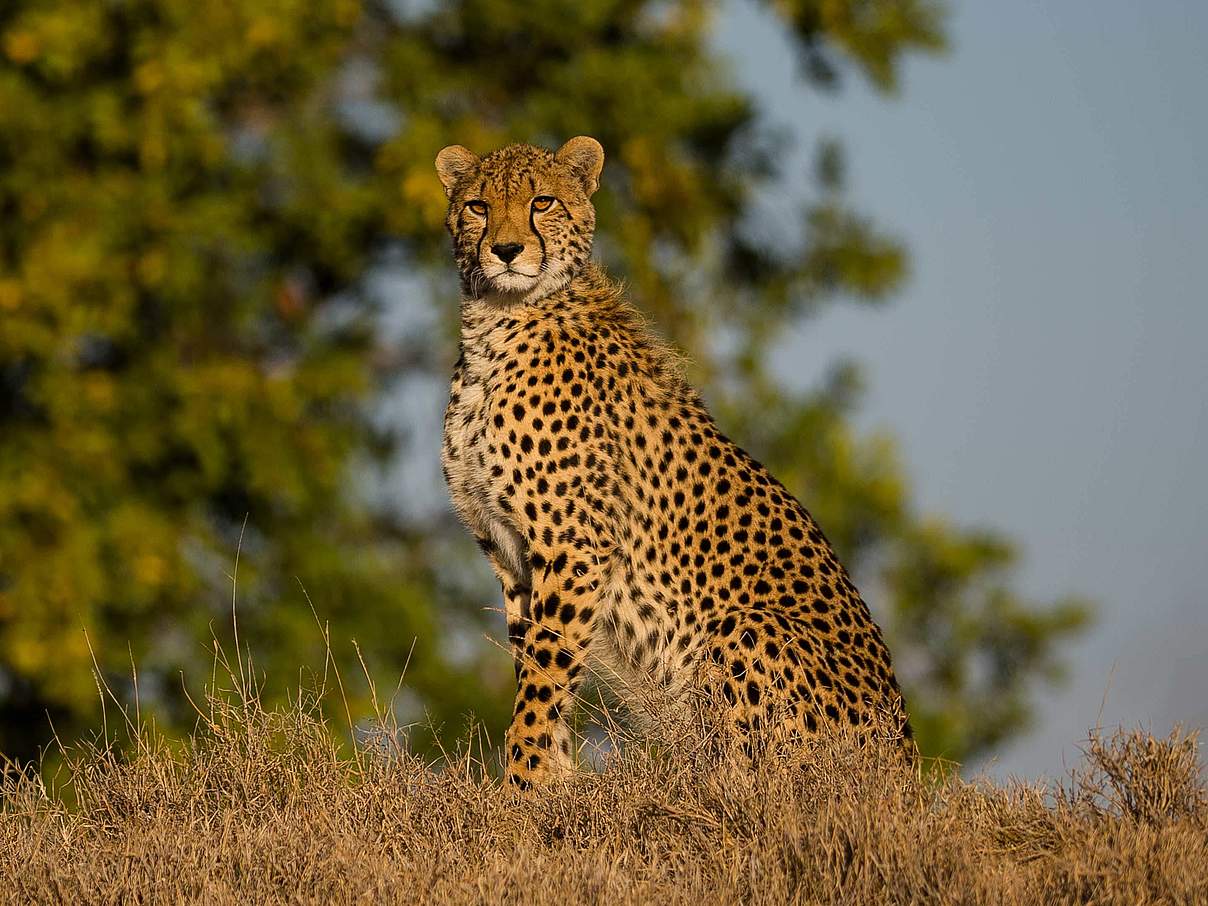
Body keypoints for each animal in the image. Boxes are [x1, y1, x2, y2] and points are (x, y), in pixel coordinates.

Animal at [434, 138, 908, 792]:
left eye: (542, 201)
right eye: (478, 206)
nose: (505, 251)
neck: (498, 322)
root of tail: (909, 767)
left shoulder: (575, 546)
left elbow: (543, 676)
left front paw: (522, 787)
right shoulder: (511, 554)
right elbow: (538, 668)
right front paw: (557, 783)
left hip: (747, 629)